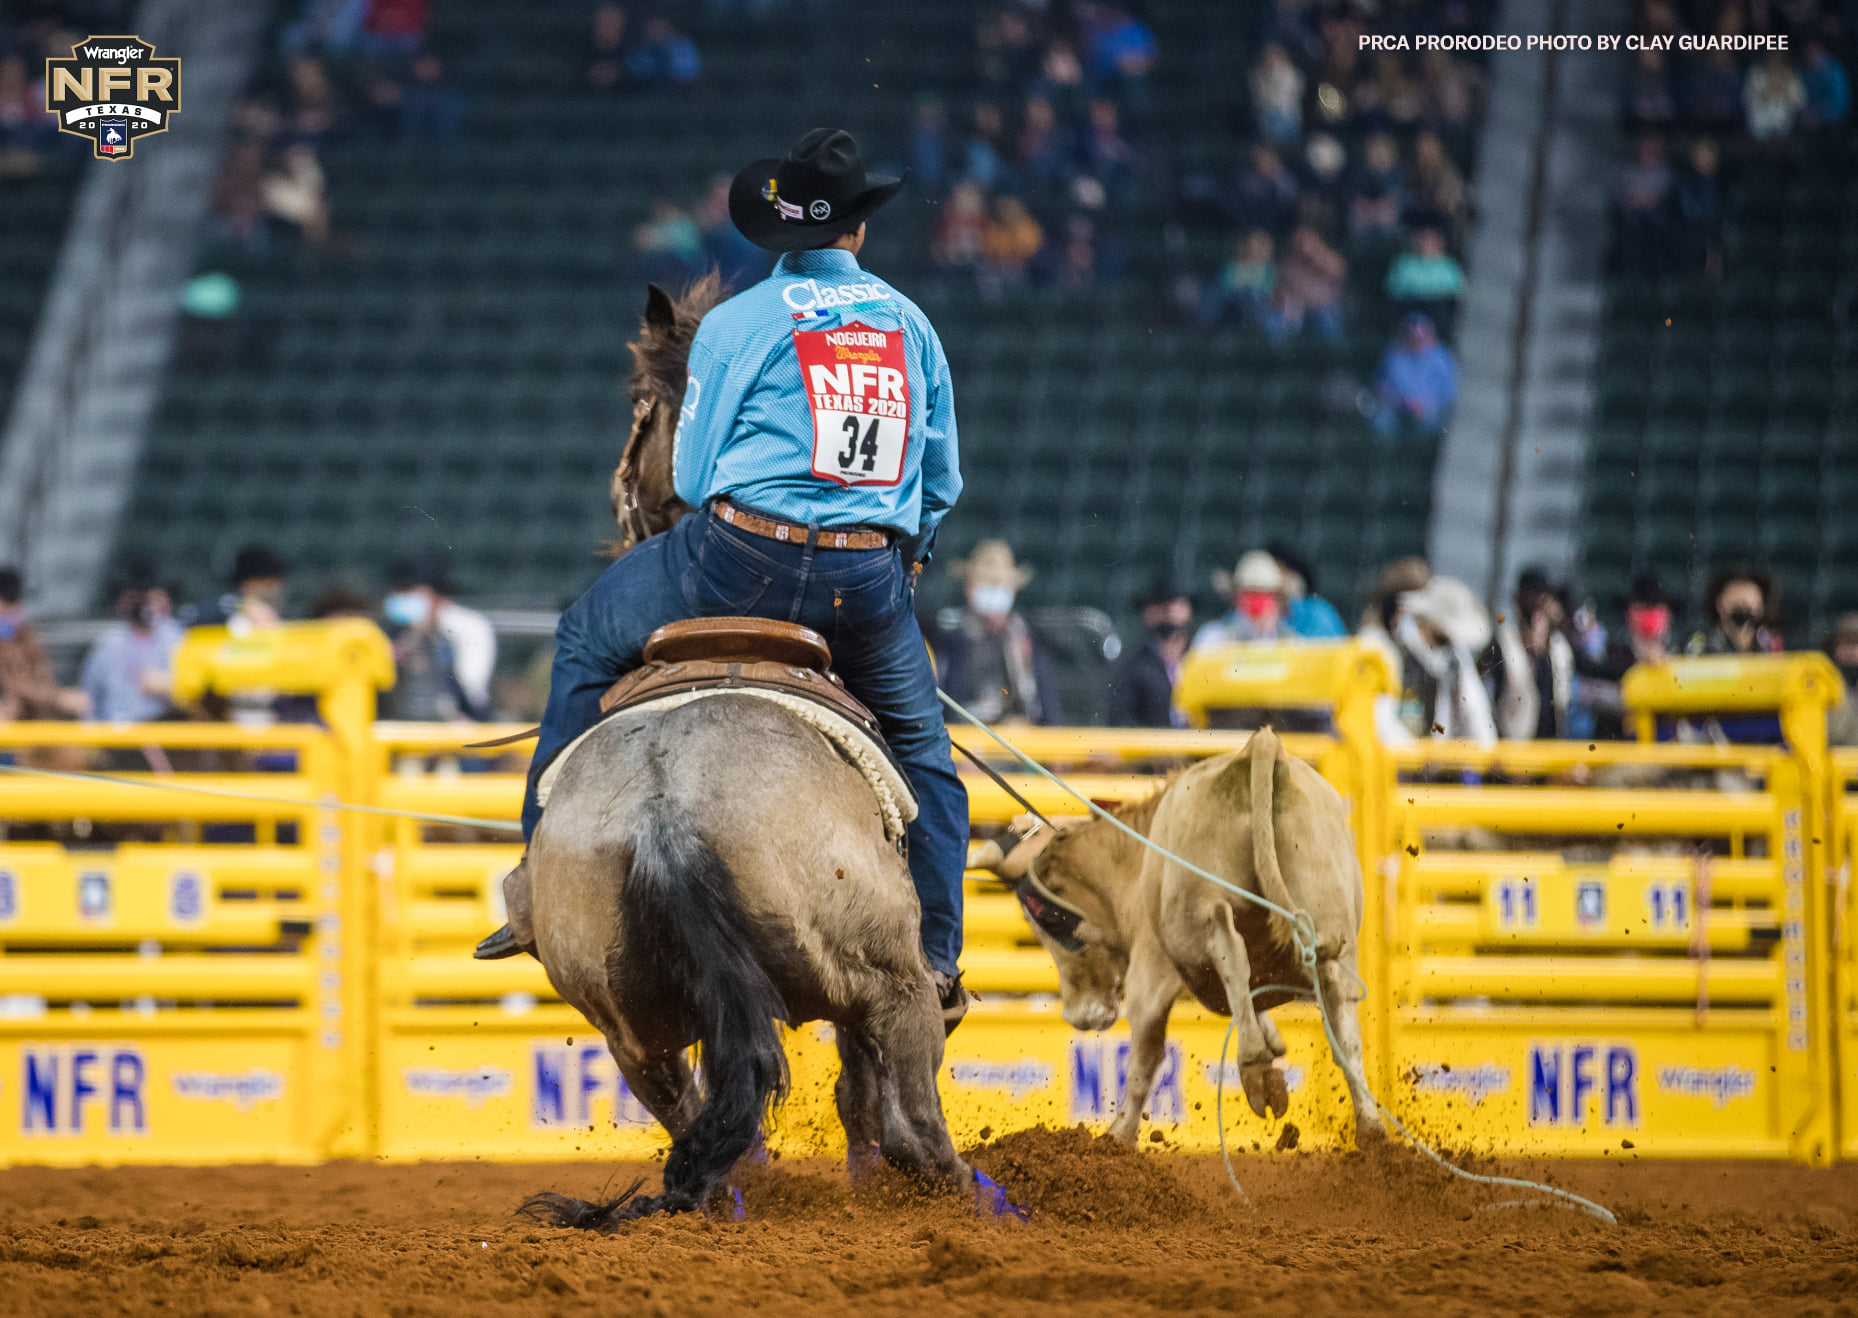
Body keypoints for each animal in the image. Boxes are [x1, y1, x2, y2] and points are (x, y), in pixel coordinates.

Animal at [936, 687, 1620, 1226]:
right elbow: (1256, 1010)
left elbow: (1148, 1055)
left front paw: (1118, 1139)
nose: (1079, 1017)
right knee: (1341, 1022)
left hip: (1200, 910)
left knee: (1230, 951)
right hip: (1329, 919)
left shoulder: (1153, 972)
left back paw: (1258, 1075)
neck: (1139, 854)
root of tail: (1258, 756)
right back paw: (1368, 1130)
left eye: (1048, 921)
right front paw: (1271, 1051)